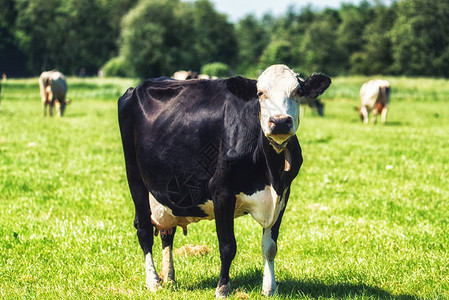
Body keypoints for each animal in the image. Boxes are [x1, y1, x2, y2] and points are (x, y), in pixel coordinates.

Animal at [117, 64, 330, 296]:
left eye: (298, 92)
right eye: (259, 93)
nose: (280, 121)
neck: (271, 170)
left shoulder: (283, 193)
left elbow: (270, 246)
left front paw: (269, 288)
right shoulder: (221, 192)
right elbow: (228, 246)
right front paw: (222, 288)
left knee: (167, 233)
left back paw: (170, 278)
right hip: (135, 177)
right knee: (144, 229)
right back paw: (153, 281)